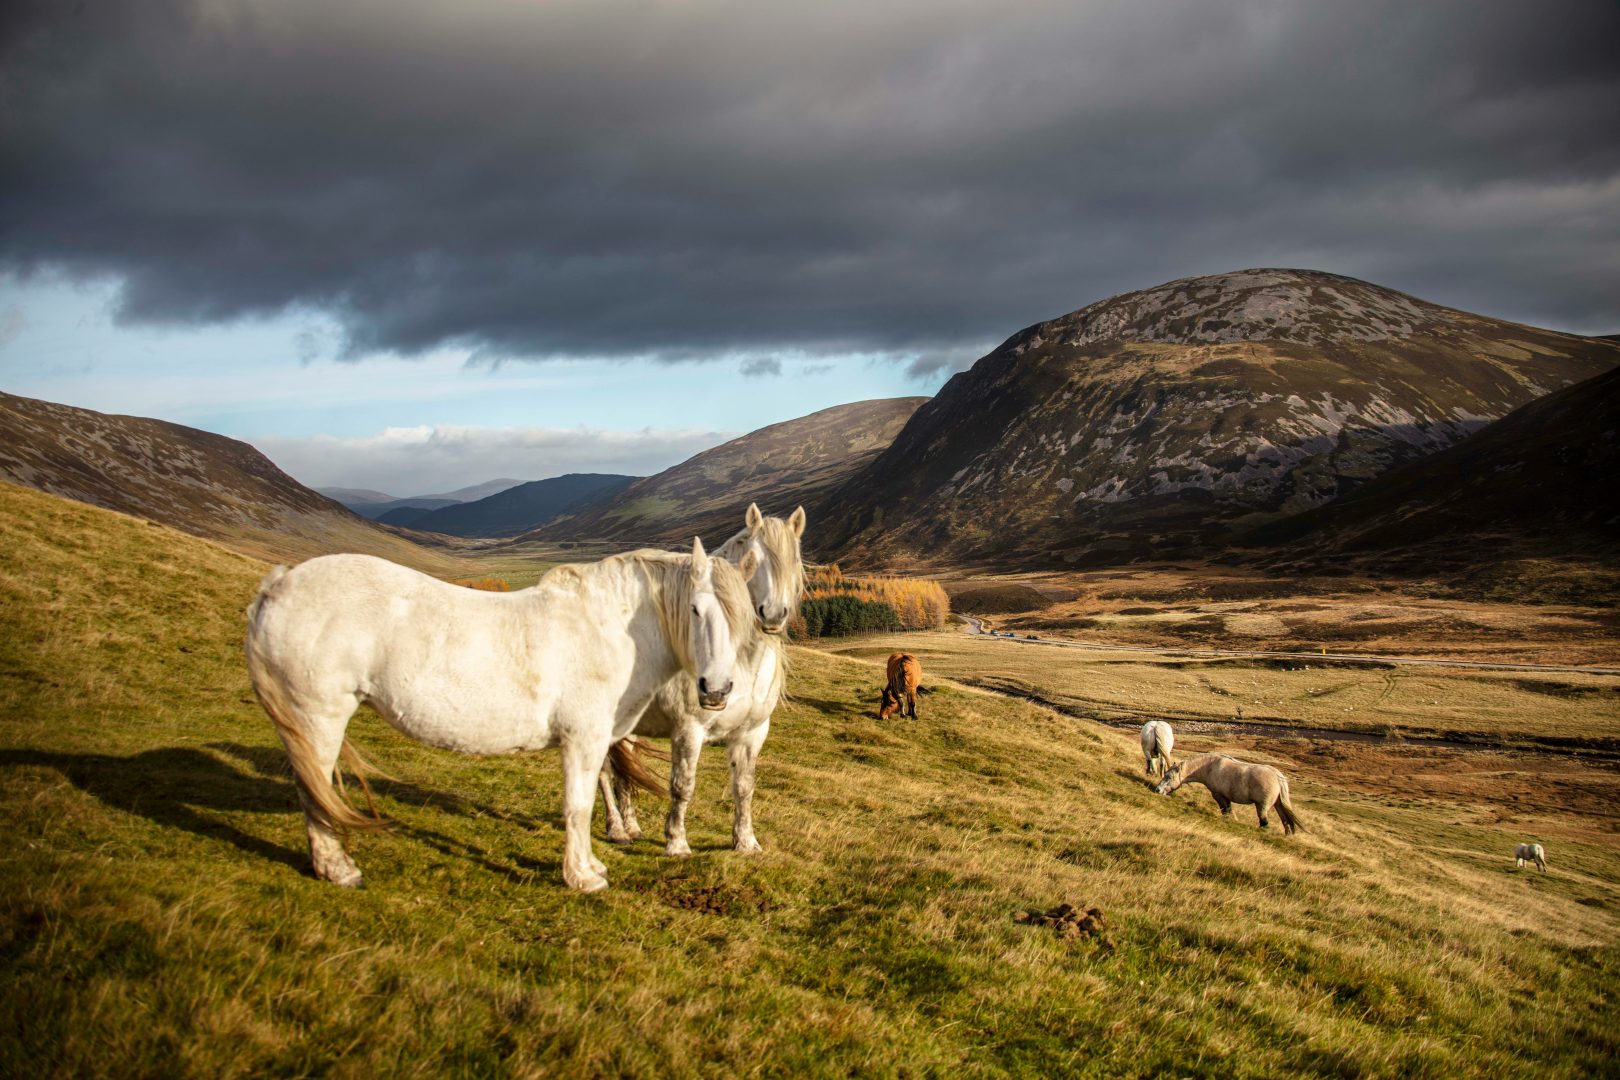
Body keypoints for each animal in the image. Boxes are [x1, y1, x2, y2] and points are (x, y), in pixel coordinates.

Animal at [245, 537, 758, 893]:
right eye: (695, 609)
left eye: (746, 618)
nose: (717, 690)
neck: (607, 629)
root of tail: (279, 584)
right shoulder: (583, 739)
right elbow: (578, 806)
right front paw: (582, 877)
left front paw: (591, 865)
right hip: (318, 718)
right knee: (313, 790)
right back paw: (339, 870)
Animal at [598, 504, 805, 855]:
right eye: (754, 559)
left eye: (794, 559)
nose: (773, 615)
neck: (742, 663)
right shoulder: (688, 730)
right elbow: (683, 786)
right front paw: (676, 842)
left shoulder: (752, 733)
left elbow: (744, 786)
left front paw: (746, 841)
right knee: (600, 772)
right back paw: (615, 828)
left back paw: (631, 826)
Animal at [1155, 753, 1302, 834]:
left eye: (1168, 777)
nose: (1158, 790)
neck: (1209, 767)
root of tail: (1278, 776)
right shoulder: (1225, 797)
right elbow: (1229, 810)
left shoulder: (1218, 795)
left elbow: (1225, 810)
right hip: (1278, 805)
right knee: (1286, 822)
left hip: (1262, 806)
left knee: (1264, 822)